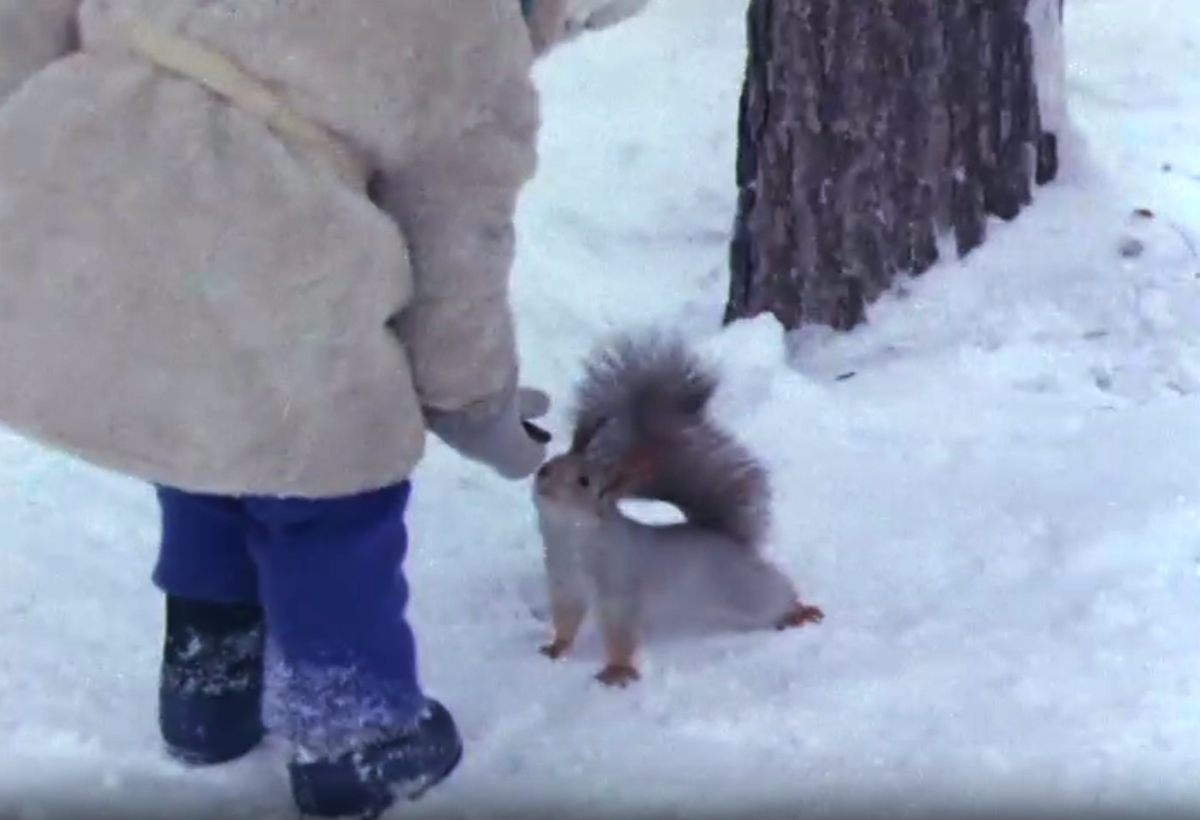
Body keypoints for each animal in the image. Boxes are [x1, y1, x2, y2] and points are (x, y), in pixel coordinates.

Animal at [535, 331, 825, 691]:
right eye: (550, 463)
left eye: (584, 481)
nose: (541, 475)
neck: (571, 537)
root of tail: (731, 540)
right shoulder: (565, 586)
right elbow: (566, 620)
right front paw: (556, 647)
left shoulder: (620, 584)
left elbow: (620, 630)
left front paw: (617, 670)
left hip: (746, 589)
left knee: (778, 593)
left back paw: (797, 611)